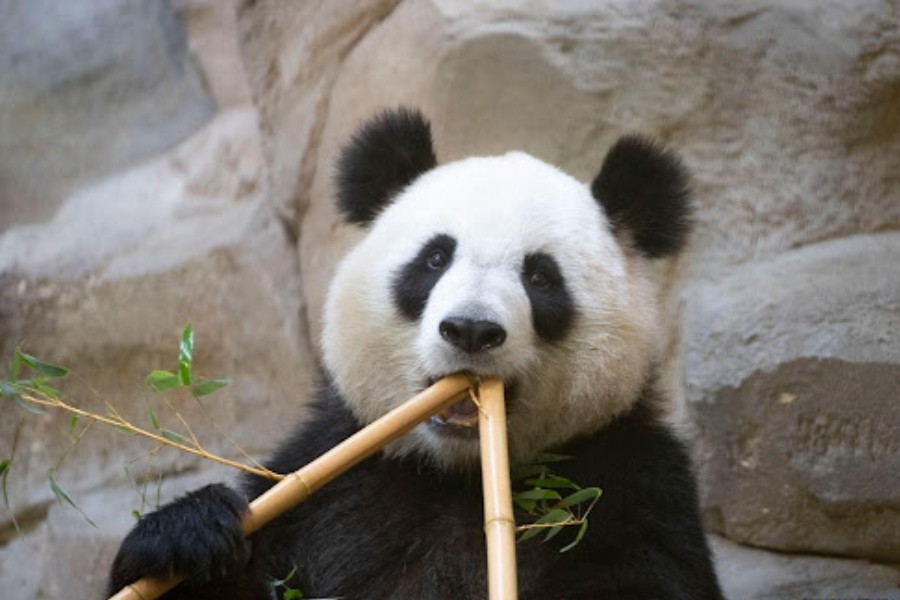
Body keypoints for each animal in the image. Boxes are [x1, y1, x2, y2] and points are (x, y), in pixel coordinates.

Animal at [107, 109, 724, 600]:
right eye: (434, 259)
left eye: (541, 277)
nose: (471, 329)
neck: (459, 477)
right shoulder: (325, 489)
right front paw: (186, 536)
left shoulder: (630, 491)